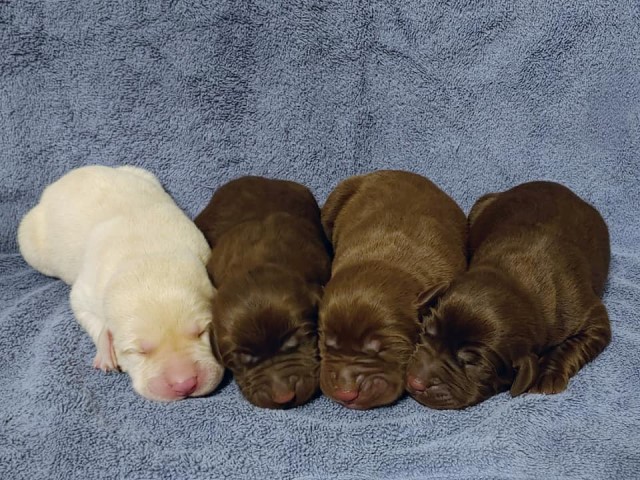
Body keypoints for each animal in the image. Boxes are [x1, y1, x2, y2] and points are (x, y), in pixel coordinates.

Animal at [16, 165, 225, 402]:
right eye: (138, 351)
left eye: (201, 332)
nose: (185, 384)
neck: (146, 255)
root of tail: (67, 177)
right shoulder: (84, 293)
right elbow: (92, 319)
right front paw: (105, 353)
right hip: (30, 241)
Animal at [408, 180, 612, 408]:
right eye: (427, 331)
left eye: (472, 362)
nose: (414, 383)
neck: (515, 278)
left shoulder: (591, 317)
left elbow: (572, 345)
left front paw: (546, 375)